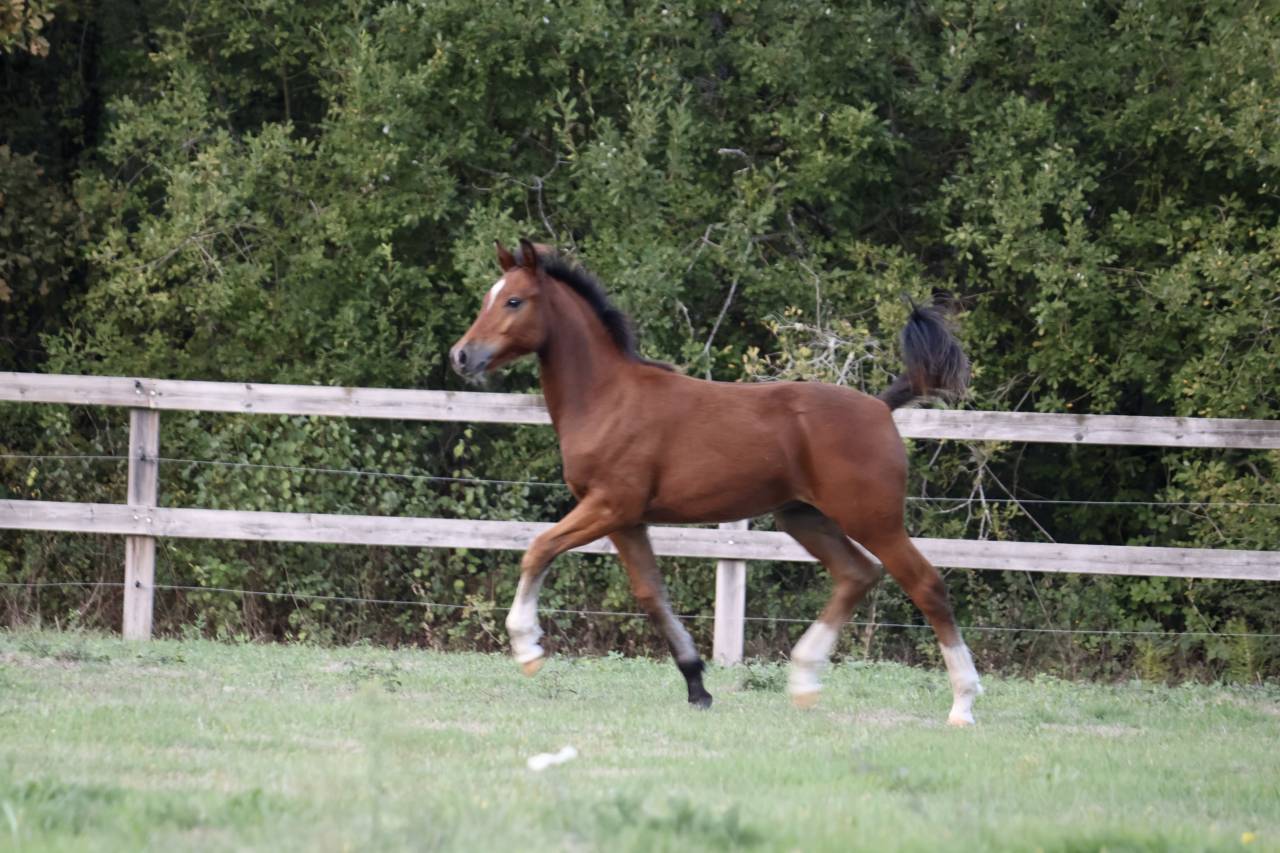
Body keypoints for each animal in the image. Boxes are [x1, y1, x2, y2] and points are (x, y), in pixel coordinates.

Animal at [450, 239, 982, 725]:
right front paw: (697, 686)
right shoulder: (626, 520)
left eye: (513, 300)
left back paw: (962, 704)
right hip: (802, 516)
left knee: (925, 584)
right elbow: (651, 595)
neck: (607, 399)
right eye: (489, 297)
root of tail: (880, 406)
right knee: (857, 574)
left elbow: (538, 548)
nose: (461, 356)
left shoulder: (609, 506)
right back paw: (803, 679)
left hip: (873, 520)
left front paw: (527, 649)